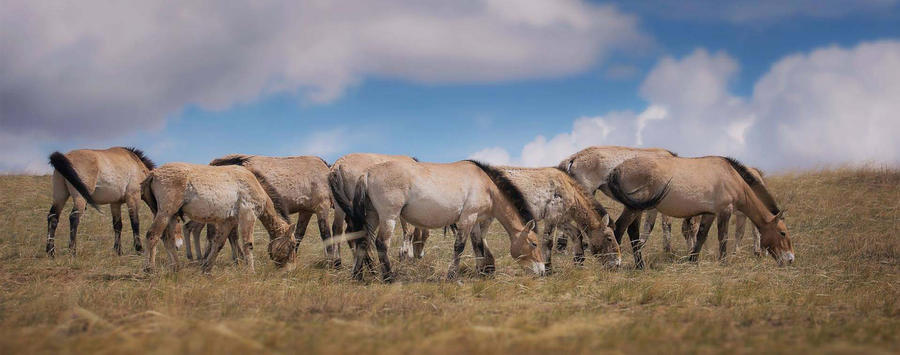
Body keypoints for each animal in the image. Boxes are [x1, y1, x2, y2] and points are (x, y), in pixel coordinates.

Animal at [141, 163, 296, 272]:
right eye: (293, 245)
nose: (289, 270)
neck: (254, 184)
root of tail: (153, 173)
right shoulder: (248, 216)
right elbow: (248, 244)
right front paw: (250, 271)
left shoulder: (228, 222)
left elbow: (218, 244)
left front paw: (207, 268)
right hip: (165, 213)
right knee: (152, 236)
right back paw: (149, 269)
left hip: (171, 216)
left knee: (168, 239)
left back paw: (176, 268)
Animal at [328, 160, 540, 282]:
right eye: (534, 243)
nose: (543, 270)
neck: (486, 186)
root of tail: (367, 173)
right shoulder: (468, 218)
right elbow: (460, 247)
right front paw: (452, 276)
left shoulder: (475, 222)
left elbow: (478, 246)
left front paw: (481, 274)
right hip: (388, 216)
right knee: (381, 244)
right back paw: (389, 277)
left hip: (372, 216)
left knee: (363, 242)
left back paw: (357, 276)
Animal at [608, 156, 792, 268]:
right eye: (782, 233)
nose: (790, 259)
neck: (731, 176)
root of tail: (618, 168)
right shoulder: (725, 211)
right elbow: (723, 237)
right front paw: (723, 262)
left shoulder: (709, 214)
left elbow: (701, 237)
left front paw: (693, 261)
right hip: (634, 208)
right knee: (618, 229)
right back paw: (615, 263)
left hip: (636, 209)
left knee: (632, 232)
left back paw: (640, 266)